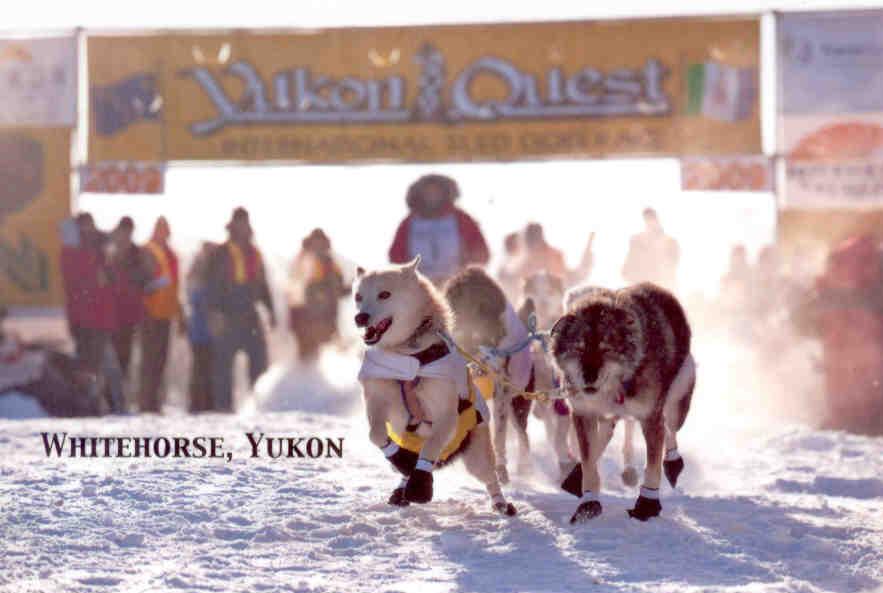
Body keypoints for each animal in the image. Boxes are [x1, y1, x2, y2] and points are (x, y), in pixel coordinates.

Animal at [354, 256, 516, 516]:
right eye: (358, 296)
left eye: (384, 294)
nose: (360, 317)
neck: (410, 353)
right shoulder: (377, 401)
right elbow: (376, 434)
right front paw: (400, 461)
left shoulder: (445, 414)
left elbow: (430, 448)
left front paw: (421, 485)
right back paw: (401, 486)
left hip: (477, 456)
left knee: (490, 476)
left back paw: (501, 503)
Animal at [552, 284, 696, 520]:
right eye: (579, 348)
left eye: (606, 349)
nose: (588, 377)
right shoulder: (583, 413)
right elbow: (589, 461)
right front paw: (588, 502)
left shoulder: (650, 417)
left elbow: (652, 465)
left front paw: (647, 504)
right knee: (605, 435)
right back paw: (575, 476)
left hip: (676, 403)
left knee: (670, 430)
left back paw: (673, 463)